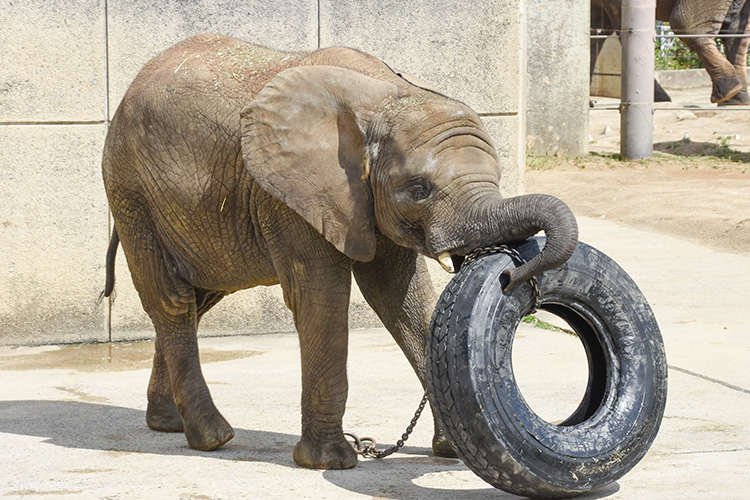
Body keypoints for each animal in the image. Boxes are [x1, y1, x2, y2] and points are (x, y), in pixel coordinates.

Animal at [101, 33, 580, 470]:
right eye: (419, 190)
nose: (512, 275)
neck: (386, 97)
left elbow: (402, 300)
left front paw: (452, 452)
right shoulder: (290, 193)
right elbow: (322, 297)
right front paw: (329, 462)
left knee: (198, 299)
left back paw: (167, 424)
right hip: (131, 192)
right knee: (173, 301)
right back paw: (212, 437)